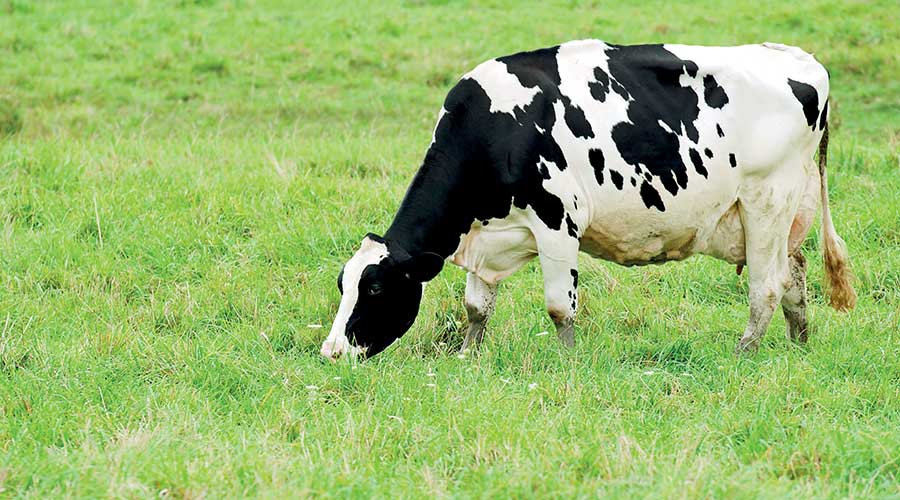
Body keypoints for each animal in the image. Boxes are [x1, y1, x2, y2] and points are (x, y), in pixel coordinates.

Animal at [320, 39, 856, 360]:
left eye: (375, 289)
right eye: (344, 284)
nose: (330, 352)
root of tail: (799, 58)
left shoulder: (558, 221)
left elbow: (560, 307)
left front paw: (567, 362)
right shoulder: (487, 236)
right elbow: (475, 307)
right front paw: (469, 357)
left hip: (767, 200)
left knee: (766, 287)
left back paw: (743, 354)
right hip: (782, 214)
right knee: (795, 275)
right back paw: (799, 348)